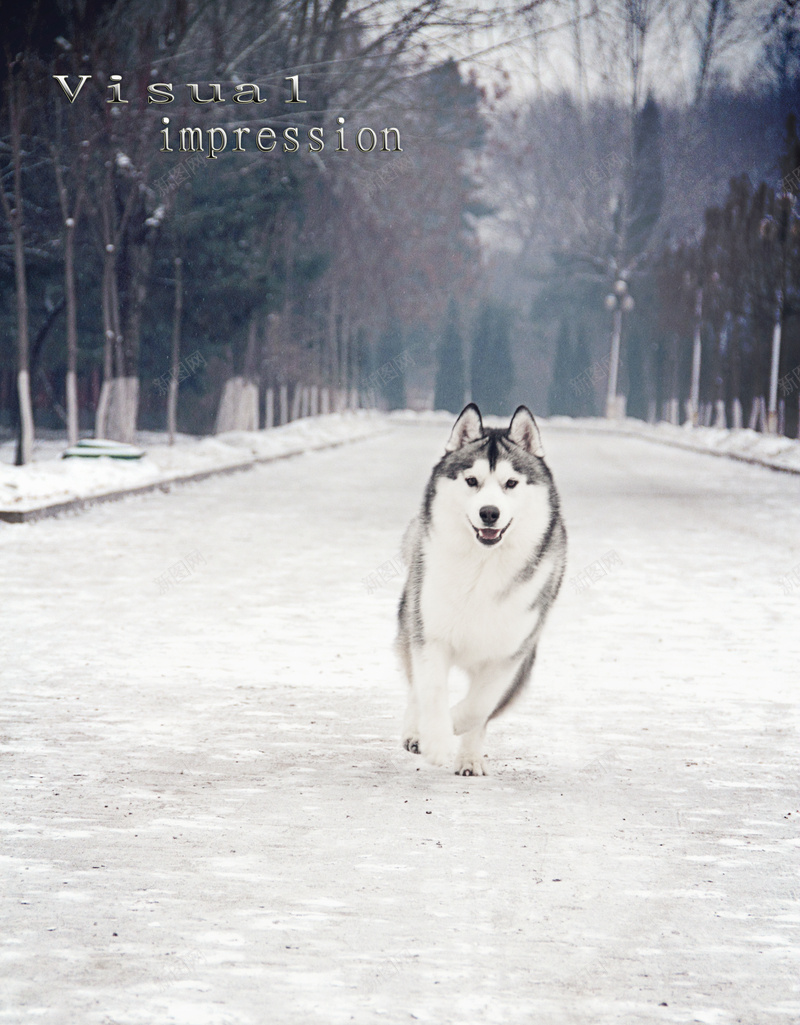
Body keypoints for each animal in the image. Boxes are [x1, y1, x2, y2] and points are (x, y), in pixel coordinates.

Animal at [395, 403, 566, 770]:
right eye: (471, 480)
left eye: (511, 483)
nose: (490, 512)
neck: (483, 568)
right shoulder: (430, 635)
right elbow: (431, 692)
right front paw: (436, 739)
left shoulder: (511, 653)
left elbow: (480, 706)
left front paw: (455, 727)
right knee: (415, 687)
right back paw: (415, 732)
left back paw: (470, 760)